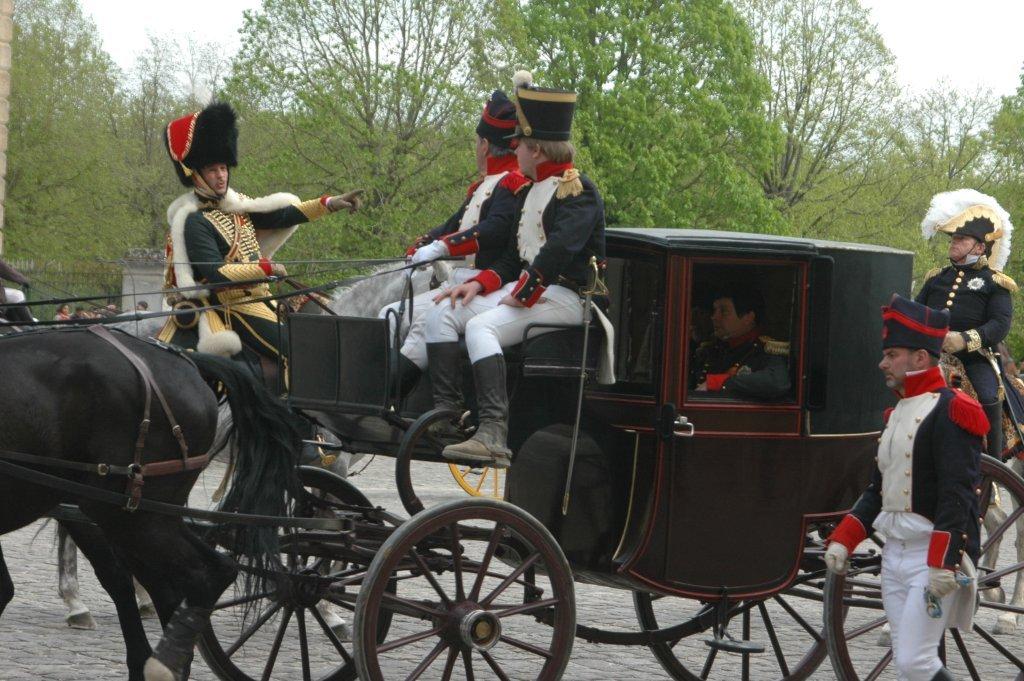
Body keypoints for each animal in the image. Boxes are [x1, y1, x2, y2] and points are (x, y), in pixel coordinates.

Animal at [0, 327, 303, 675]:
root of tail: (187, 362)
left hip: (131, 518)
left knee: (203, 574)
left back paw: (165, 659)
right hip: (138, 516)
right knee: (167, 585)